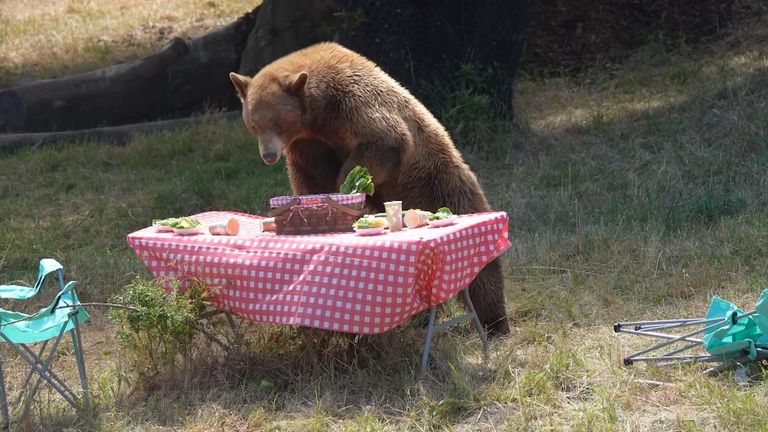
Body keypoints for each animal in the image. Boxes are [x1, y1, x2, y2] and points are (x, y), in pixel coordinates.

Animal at [230, 42, 510, 336]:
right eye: (253, 124)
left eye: (276, 122)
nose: (269, 155)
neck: (319, 113)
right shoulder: (308, 145)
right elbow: (311, 179)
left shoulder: (354, 107)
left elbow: (383, 141)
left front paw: (347, 186)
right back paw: (417, 320)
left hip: (440, 183)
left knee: (483, 270)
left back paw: (495, 322)